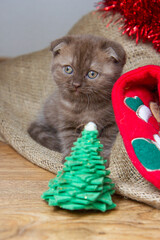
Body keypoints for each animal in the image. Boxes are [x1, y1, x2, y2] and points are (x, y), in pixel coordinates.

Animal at [27, 34, 126, 163]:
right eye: (68, 69)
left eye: (92, 74)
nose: (76, 84)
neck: (85, 106)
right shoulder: (67, 124)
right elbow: (71, 141)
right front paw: (73, 160)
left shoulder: (112, 124)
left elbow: (106, 140)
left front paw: (100, 159)